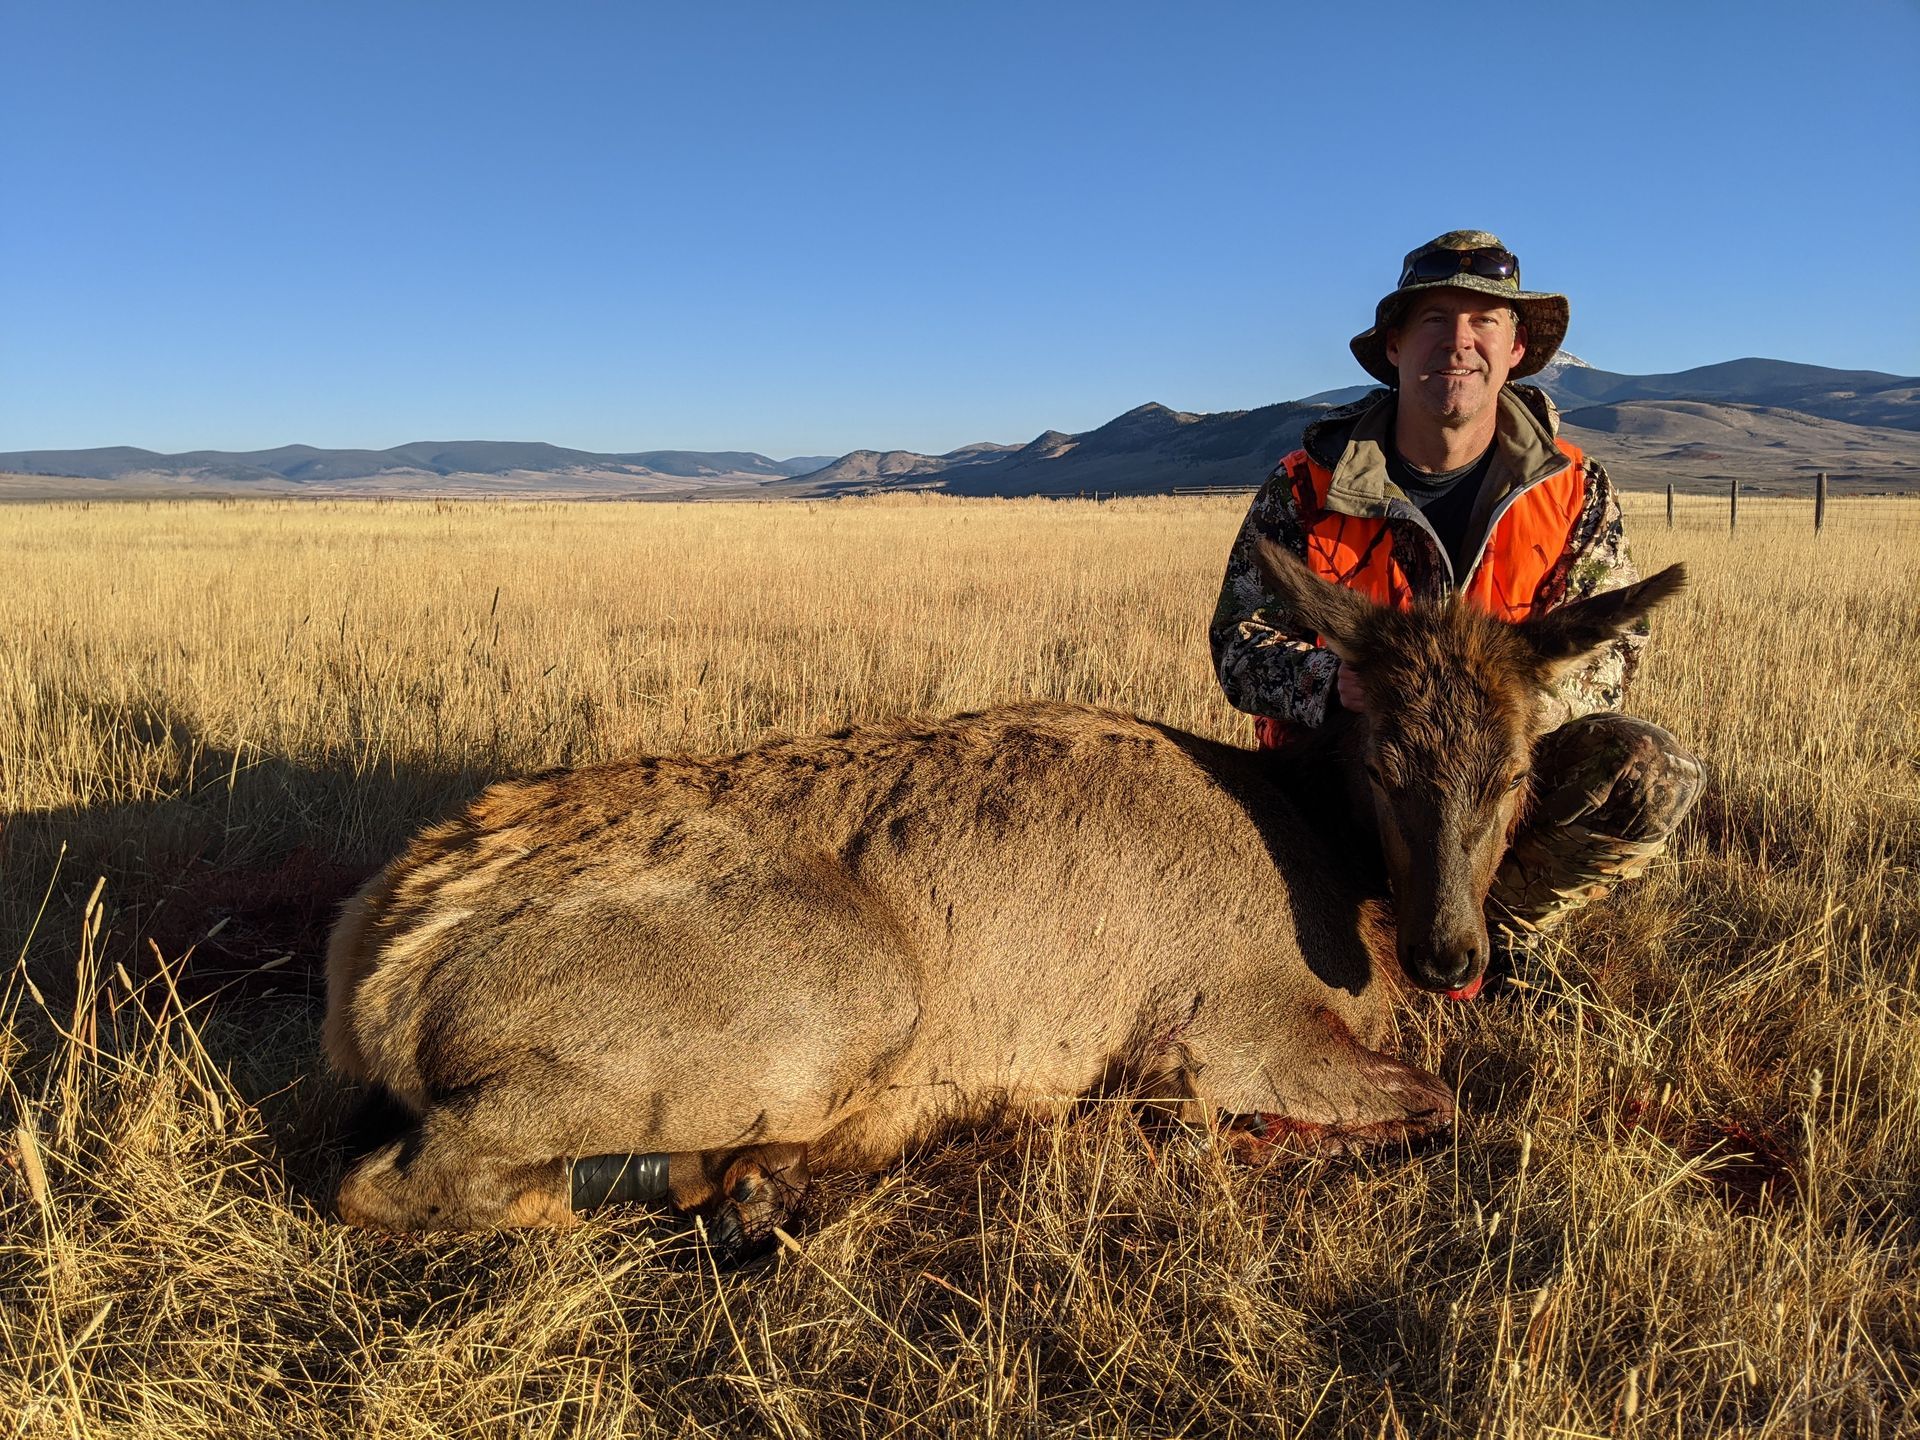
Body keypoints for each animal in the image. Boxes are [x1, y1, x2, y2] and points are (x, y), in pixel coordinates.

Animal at [323, 544, 1684, 1258]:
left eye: (1515, 769)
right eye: (1390, 762)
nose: (1453, 953)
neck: (1334, 878)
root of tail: (373, 964)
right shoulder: (1229, 1025)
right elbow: (1432, 1102)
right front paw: (1207, 1134)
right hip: (833, 1000)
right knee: (391, 1181)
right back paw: (740, 1178)